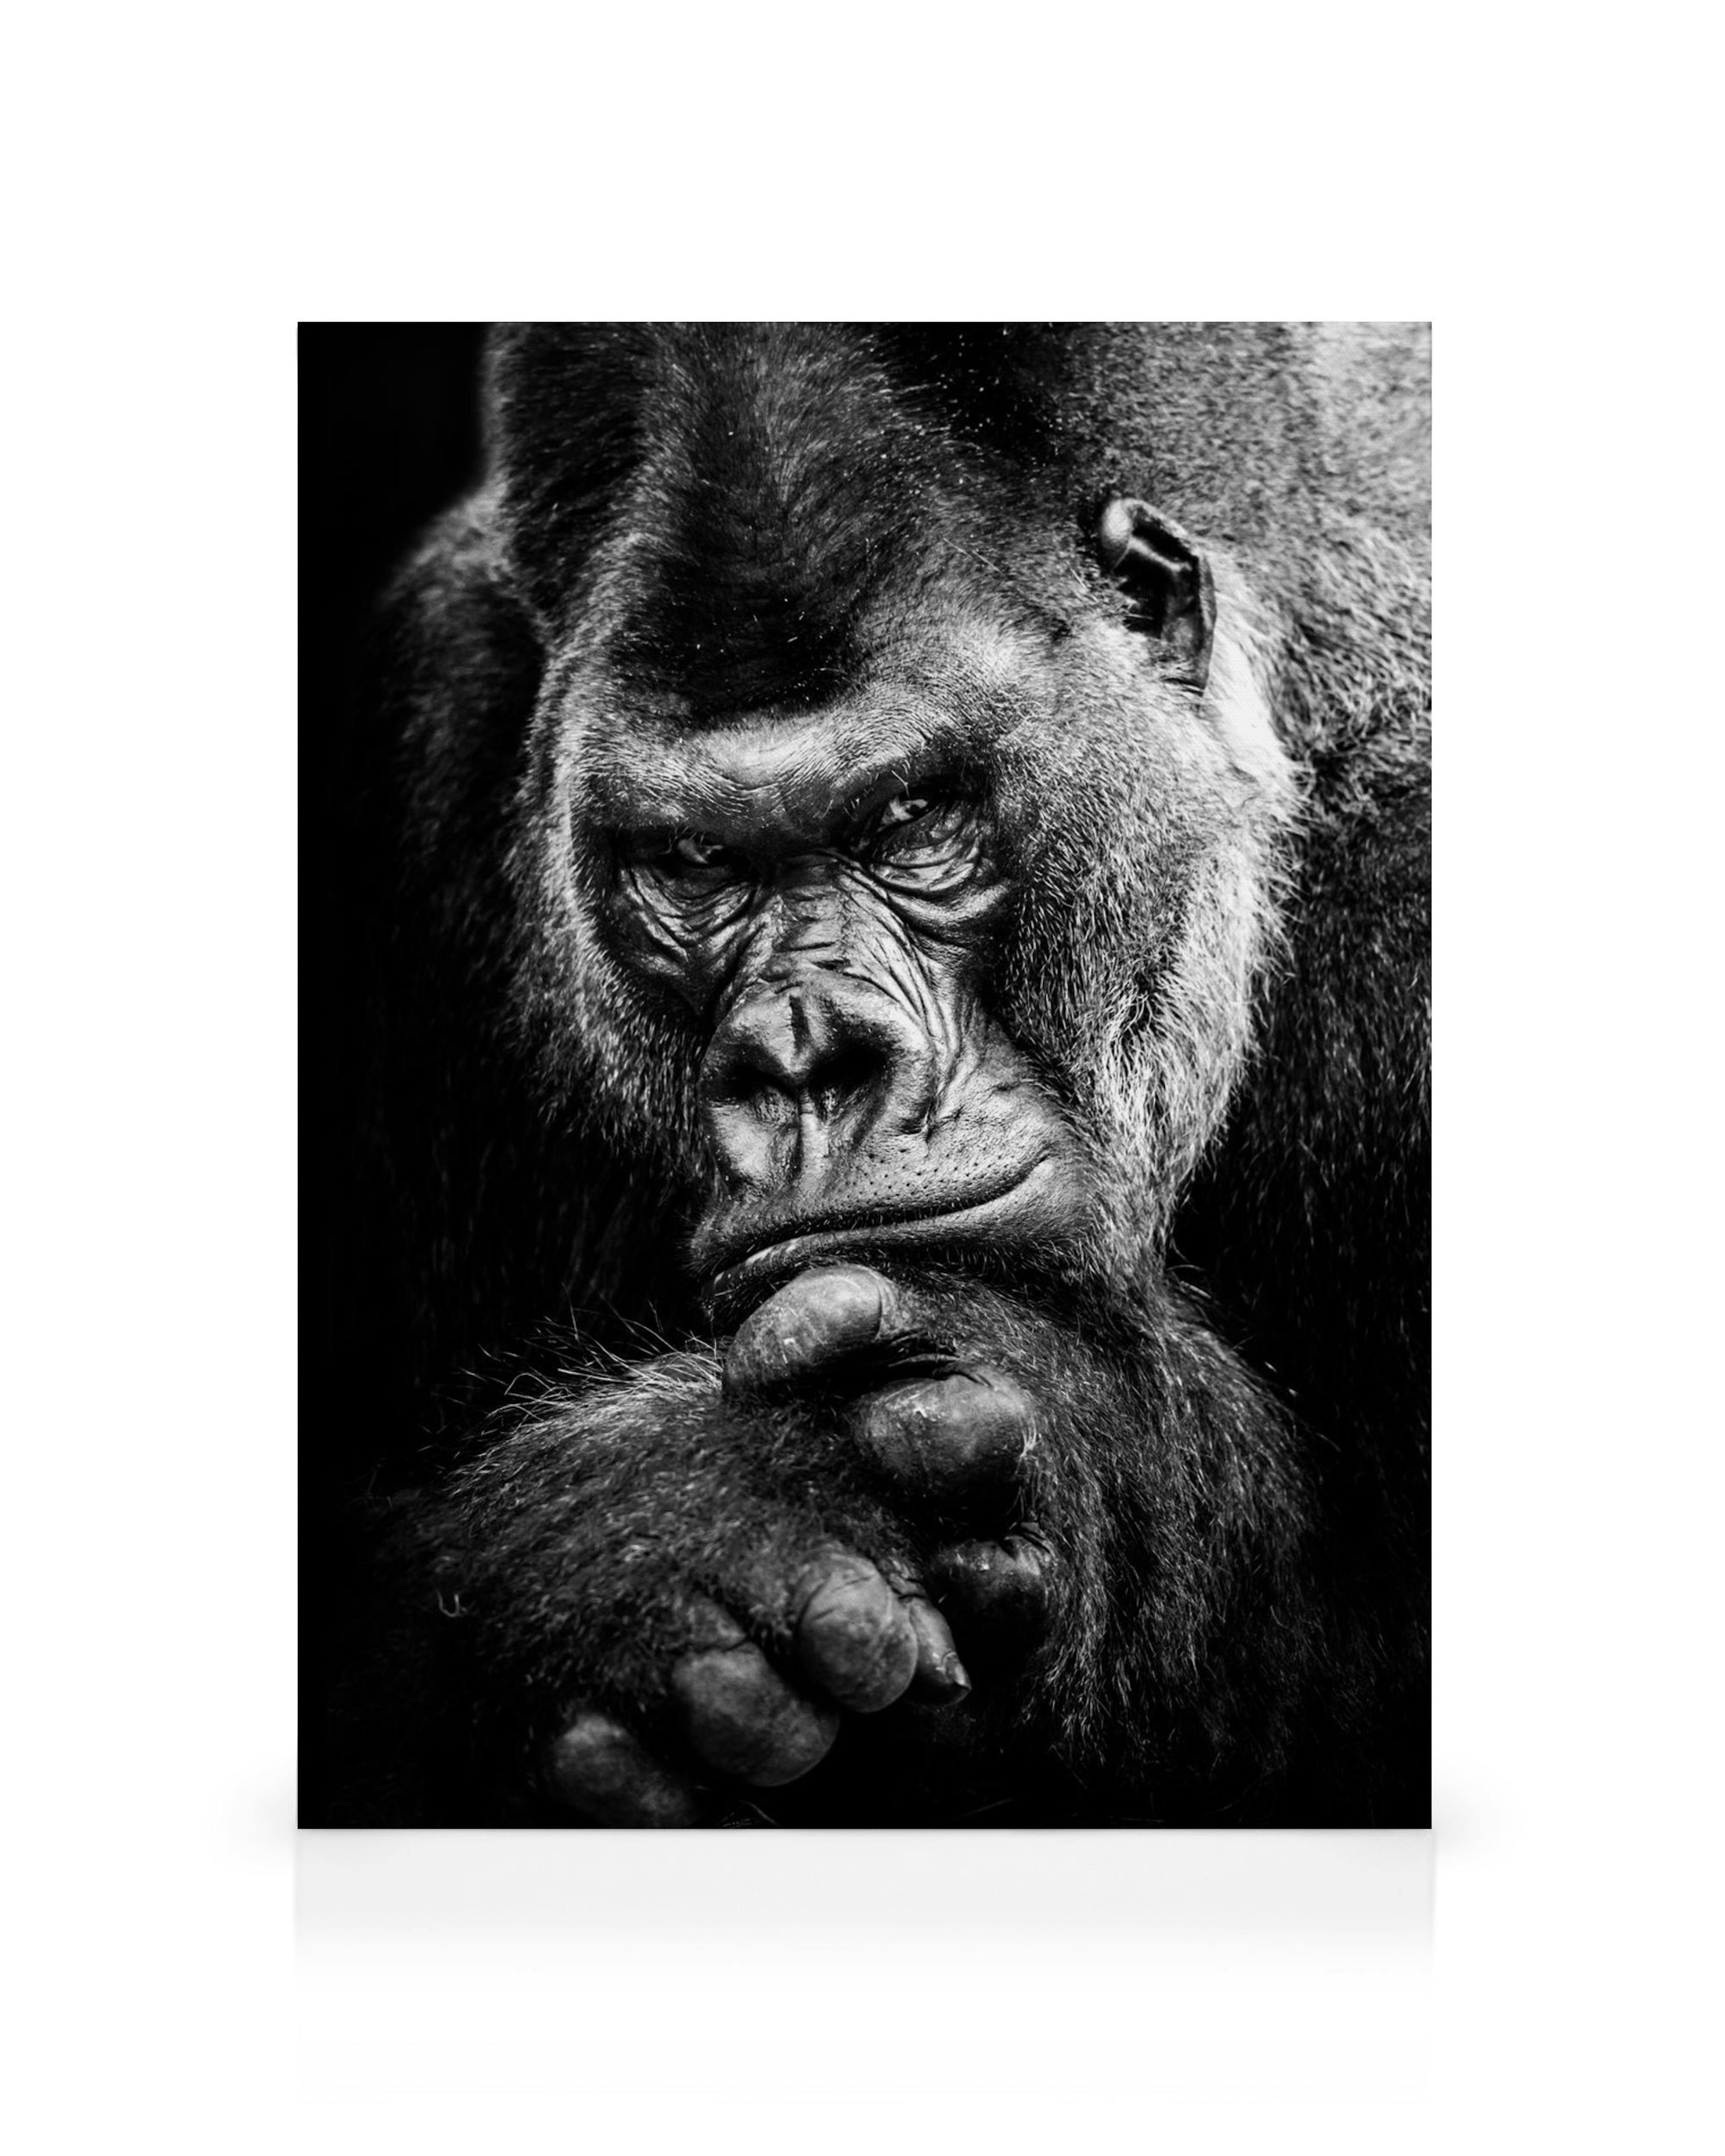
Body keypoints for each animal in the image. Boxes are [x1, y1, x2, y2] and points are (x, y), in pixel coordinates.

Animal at [308, 322, 1429, 1827]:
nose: (807, 1059)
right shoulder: (427, 734)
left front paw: (1074, 1440)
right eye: (694, 862)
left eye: (911, 819)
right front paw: (649, 1542)